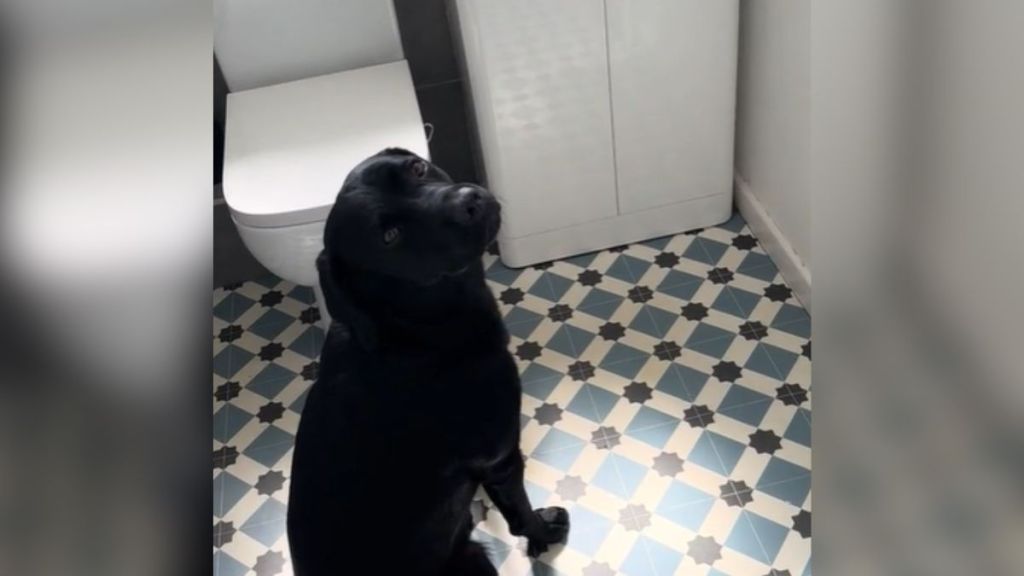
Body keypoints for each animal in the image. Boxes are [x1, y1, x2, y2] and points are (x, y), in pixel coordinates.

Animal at [288, 148, 573, 573]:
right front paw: (544, 530)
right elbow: (520, 515)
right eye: (390, 236)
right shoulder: (500, 457)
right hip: (473, 558)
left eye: (417, 167)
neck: (415, 331)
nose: (469, 201)